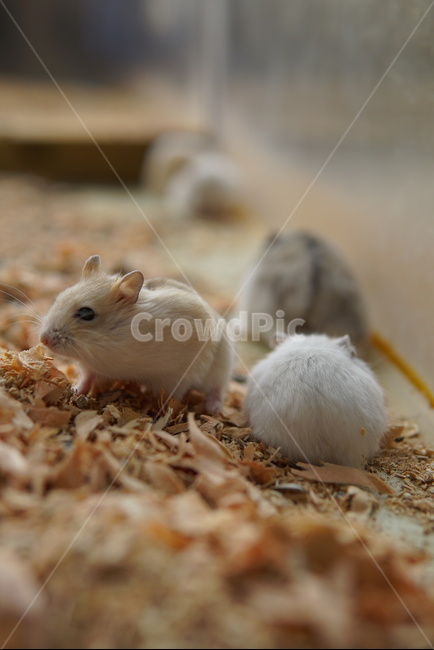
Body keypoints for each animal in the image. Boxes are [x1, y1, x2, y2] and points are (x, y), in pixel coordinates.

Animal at [39, 256, 234, 414]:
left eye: (86, 313)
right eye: (58, 298)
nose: (43, 340)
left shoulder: (179, 375)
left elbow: (172, 397)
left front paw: (160, 411)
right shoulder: (91, 366)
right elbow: (87, 379)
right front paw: (75, 390)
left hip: (221, 365)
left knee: (217, 388)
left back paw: (213, 409)